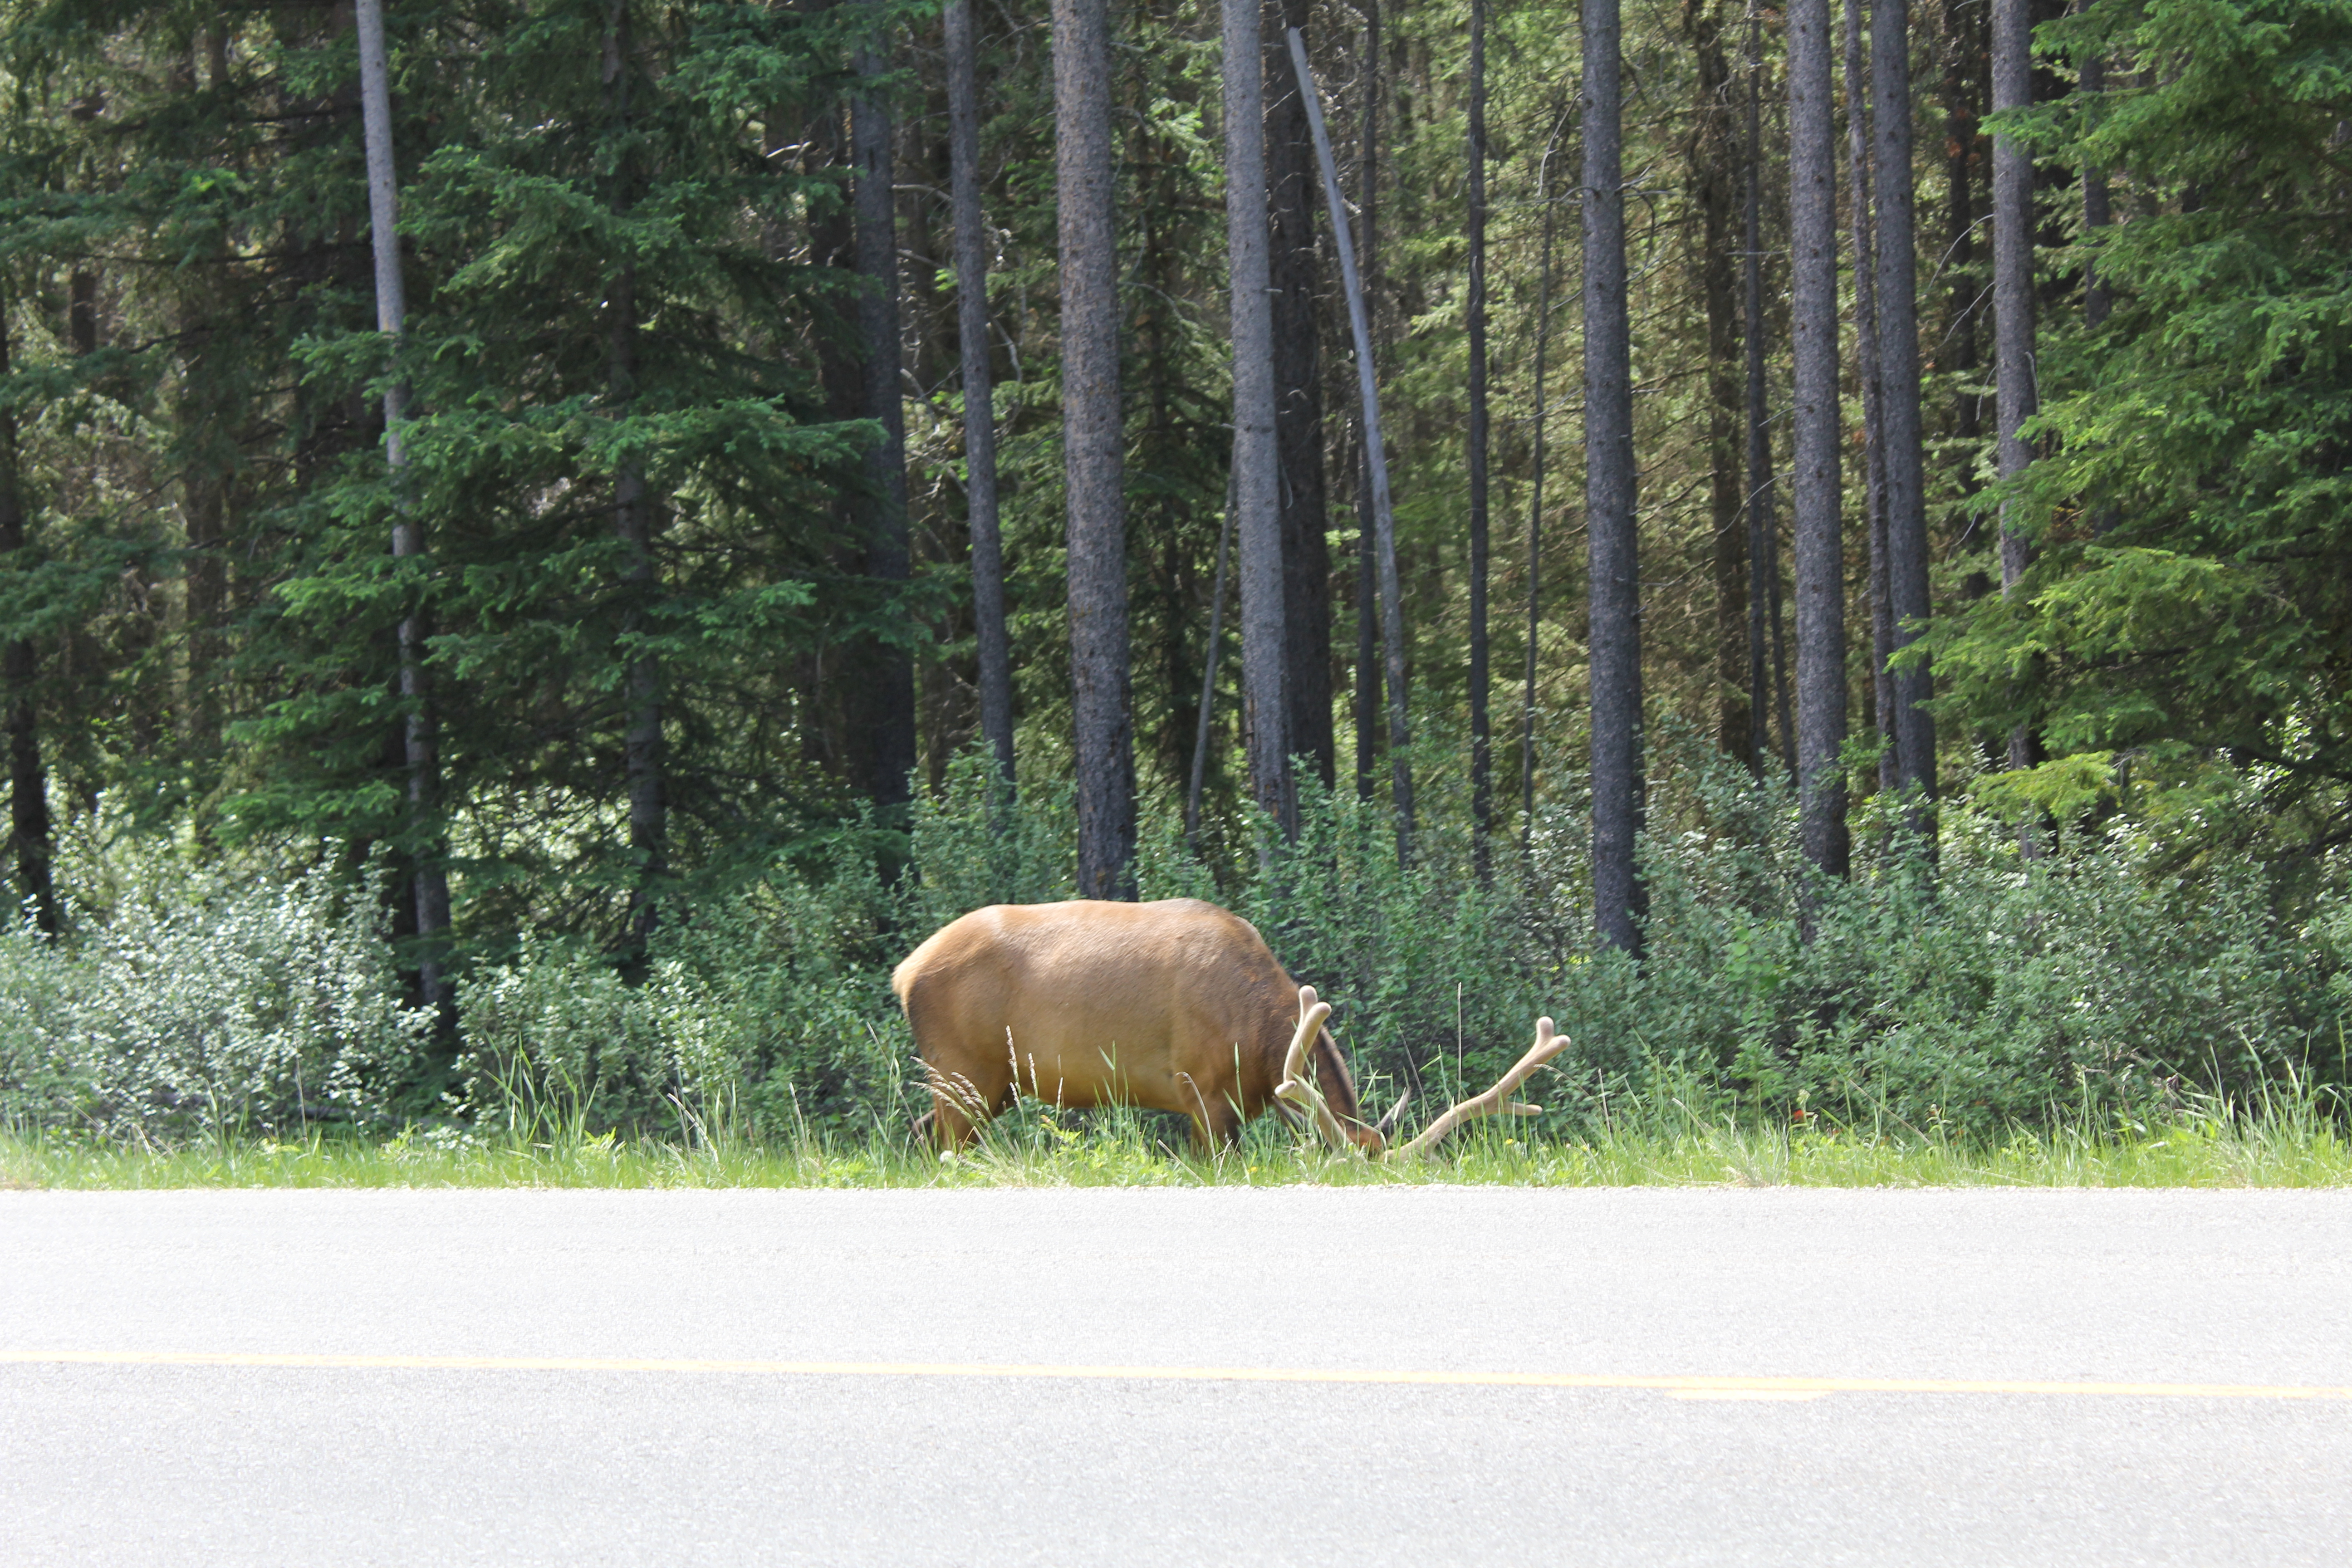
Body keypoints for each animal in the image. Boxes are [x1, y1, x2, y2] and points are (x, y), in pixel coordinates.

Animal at [889, 902, 1571, 1161]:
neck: (1263, 1044)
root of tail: (905, 972)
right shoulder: (1200, 1089)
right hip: (961, 1067)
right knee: (943, 1142)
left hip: (990, 1087)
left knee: (923, 1135)